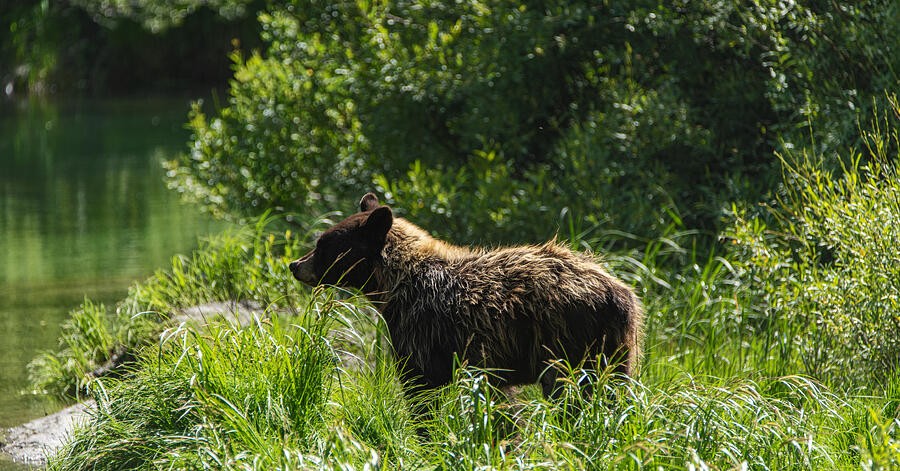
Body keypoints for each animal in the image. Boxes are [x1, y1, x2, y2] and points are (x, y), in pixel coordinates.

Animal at [289, 193, 643, 399]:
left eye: (323, 244)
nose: (295, 265)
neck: (396, 286)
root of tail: (622, 295)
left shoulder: (421, 332)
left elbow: (420, 389)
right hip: (615, 350)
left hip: (567, 341)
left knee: (571, 392)